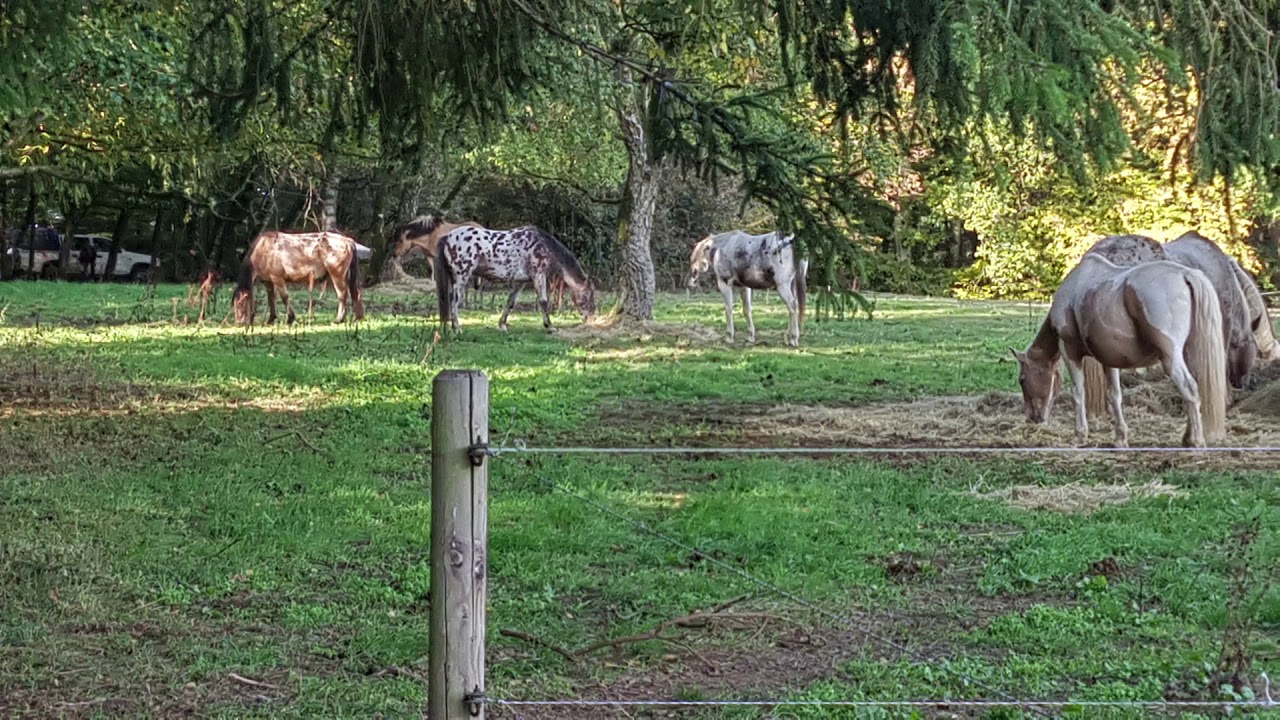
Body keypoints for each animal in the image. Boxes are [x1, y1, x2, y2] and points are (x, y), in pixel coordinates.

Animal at [233, 230, 365, 325]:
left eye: (240, 304)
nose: (239, 323)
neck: (264, 249)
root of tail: (346, 240)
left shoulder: (277, 279)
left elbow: (284, 297)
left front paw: (290, 318)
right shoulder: (268, 282)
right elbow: (271, 299)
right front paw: (271, 319)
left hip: (337, 275)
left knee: (342, 295)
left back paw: (339, 319)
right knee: (355, 294)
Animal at [431, 219, 596, 332]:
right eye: (586, 297)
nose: (590, 319)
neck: (542, 246)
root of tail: (448, 237)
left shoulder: (520, 281)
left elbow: (510, 302)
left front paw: (502, 325)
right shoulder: (539, 275)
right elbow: (543, 301)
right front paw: (549, 326)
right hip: (461, 276)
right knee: (454, 300)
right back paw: (457, 328)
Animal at [1012, 254, 1227, 448]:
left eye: (1022, 380)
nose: (1031, 417)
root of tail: (1185, 273)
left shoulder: (1070, 352)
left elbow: (1078, 393)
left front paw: (1080, 436)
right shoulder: (1109, 360)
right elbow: (1115, 396)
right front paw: (1120, 438)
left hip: (1171, 358)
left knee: (1189, 389)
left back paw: (1196, 441)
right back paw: (1187, 437)